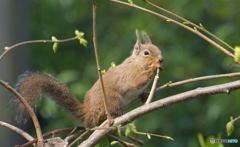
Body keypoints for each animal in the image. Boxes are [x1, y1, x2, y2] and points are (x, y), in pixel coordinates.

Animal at [15, 31, 163, 127]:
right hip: (112, 99)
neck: (137, 63)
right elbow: (137, 81)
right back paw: (115, 113)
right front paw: (154, 68)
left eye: (158, 49)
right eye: (146, 53)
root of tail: (88, 112)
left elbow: (140, 89)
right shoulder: (129, 74)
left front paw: (145, 95)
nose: (161, 59)